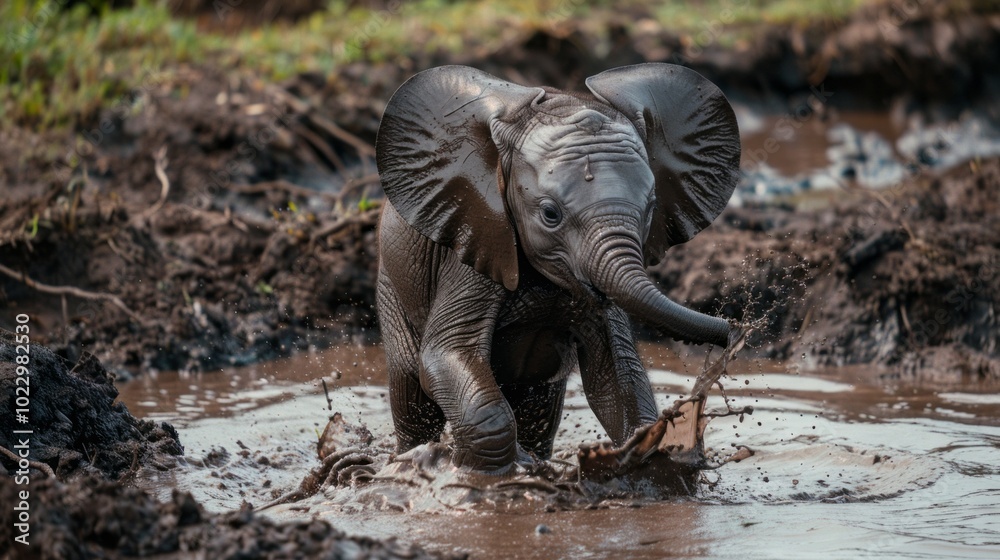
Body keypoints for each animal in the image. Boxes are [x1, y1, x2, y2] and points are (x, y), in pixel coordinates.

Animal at [374, 63, 741, 474]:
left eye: (650, 209)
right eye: (550, 214)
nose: (734, 330)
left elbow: (616, 375)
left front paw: (645, 451)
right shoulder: (476, 242)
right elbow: (447, 352)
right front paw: (492, 475)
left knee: (539, 406)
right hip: (392, 283)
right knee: (411, 392)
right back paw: (406, 460)